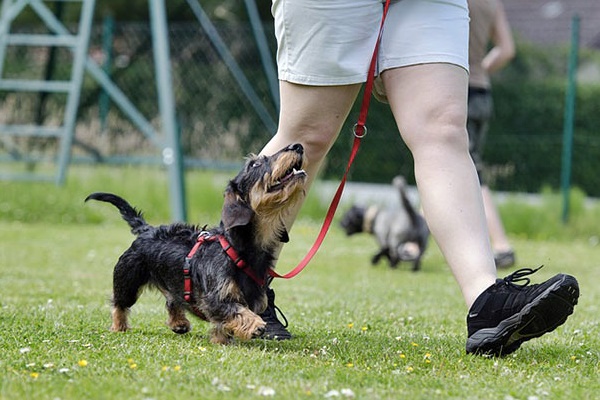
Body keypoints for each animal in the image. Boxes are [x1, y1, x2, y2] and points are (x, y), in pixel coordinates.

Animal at [86, 143, 308, 344]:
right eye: (254, 164)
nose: (297, 146)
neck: (238, 249)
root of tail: (147, 229)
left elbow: (224, 323)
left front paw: (221, 340)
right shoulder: (215, 299)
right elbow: (236, 311)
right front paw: (255, 325)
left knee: (172, 300)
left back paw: (179, 323)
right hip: (127, 280)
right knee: (119, 304)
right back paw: (119, 326)